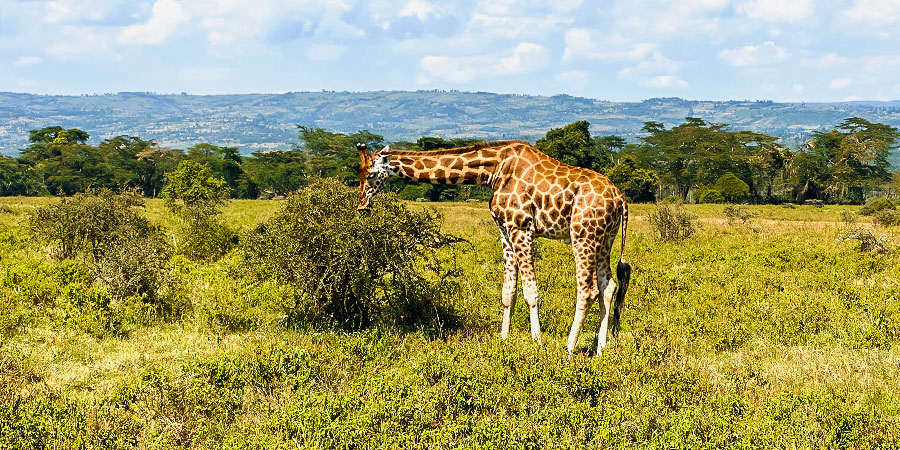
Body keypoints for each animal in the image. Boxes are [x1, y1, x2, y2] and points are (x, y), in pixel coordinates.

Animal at [356, 139, 628, 354]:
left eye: (370, 175)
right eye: (358, 174)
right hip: (605, 238)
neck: (493, 171)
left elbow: (531, 291)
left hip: (582, 234)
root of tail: (621, 198)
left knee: (588, 290)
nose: (361, 207)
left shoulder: (521, 227)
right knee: (608, 287)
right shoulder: (504, 229)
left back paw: (569, 348)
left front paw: (537, 342)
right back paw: (601, 348)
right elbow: (508, 291)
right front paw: (503, 339)